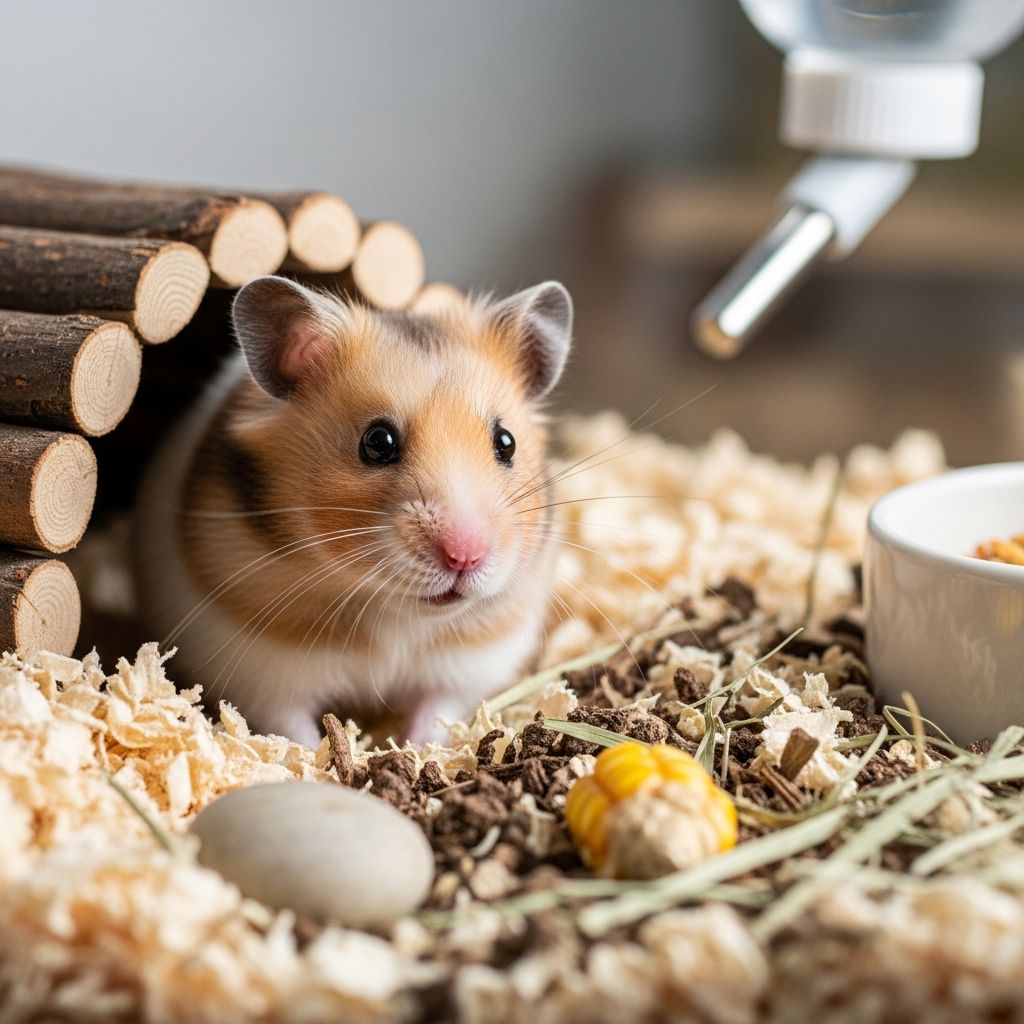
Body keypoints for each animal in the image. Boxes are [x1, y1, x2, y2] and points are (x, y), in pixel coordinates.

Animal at [134, 276, 573, 747]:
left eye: (506, 443)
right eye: (377, 442)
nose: (465, 556)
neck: (391, 607)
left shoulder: (466, 667)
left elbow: (436, 714)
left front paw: (416, 749)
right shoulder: (263, 673)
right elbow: (293, 731)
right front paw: (324, 757)